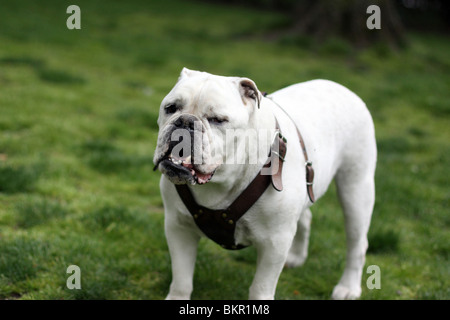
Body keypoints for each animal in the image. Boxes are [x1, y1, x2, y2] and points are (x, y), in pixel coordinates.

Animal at [153, 68, 378, 300]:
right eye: (171, 108)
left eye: (217, 120)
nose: (185, 122)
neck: (220, 179)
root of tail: (343, 88)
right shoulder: (178, 227)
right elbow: (182, 276)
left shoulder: (274, 243)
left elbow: (260, 288)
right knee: (306, 217)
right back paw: (297, 256)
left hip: (356, 190)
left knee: (357, 243)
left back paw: (348, 287)